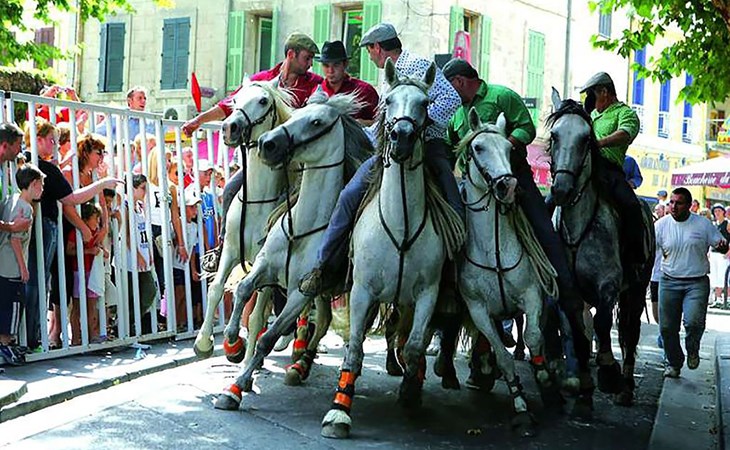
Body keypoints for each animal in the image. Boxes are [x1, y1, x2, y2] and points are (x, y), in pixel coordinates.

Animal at [193, 80, 292, 364]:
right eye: (235, 100)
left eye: (263, 101)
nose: (229, 127)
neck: (258, 200)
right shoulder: (231, 251)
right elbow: (216, 289)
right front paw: (205, 342)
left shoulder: (266, 265)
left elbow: (258, 312)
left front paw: (246, 358)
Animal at [213, 91, 372, 411]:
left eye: (316, 121)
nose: (267, 143)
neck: (302, 227)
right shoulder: (262, 265)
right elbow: (241, 290)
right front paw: (232, 341)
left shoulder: (300, 293)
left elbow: (265, 335)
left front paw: (234, 388)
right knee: (322, 320)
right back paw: (299, 362)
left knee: (334, 327)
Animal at [454, 109, 559, 437]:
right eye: (478, 148)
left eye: (509, 149)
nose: (507, 186)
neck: (495, 250)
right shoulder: (477, 309)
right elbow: (502, 355)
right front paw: (521, 406)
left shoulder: (533, 294)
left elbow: (534, 335)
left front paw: (545, 378)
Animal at [547, 88, 654, 406]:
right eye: (555, 135)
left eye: (586, 138)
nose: (561, 189)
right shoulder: (566, 292)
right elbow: (578, 333)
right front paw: (583, 384)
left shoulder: (608, 284)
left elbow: (602, 324)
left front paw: (607, 370)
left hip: (636, 289)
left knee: (630, 333)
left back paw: (626, 386)